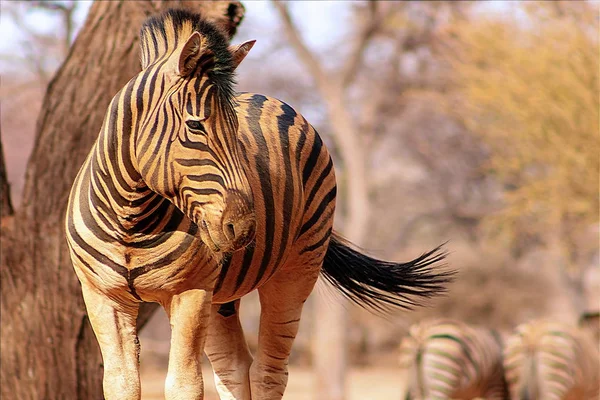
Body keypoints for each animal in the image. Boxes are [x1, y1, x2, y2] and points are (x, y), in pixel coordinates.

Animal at [64, 9, 450, 400]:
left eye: (236, 131)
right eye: (194, 126)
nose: (245, 228)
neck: (132, 219)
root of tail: (274, 100)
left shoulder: (191, 292)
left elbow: (185, 383)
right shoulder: (102, 297)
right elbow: (121, 383)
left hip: (295, 271)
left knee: (269, 372)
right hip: (221, 296)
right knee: (233, 368)